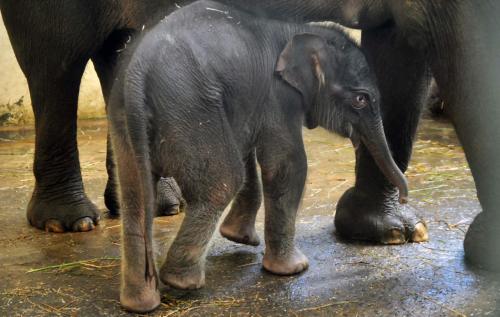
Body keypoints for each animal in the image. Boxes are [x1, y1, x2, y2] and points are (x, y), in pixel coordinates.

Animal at [0, 0, 498, 270]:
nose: (410, 191)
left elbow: (398, 48)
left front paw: (390, 234)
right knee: (55, 64)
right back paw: (69, 222)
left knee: (119, 52)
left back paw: (158, 205)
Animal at [107, 0, 408, 312]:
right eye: (360, 99)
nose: (404, 198)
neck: (299, 30)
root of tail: (137, 74)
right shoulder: (278, 95)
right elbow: (288, 165)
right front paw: (294, 269)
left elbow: (246, 146)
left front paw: (239, 237)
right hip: (188, 109)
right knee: (222, 181)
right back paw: (182, 282)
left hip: (127, 122)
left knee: (135, 197)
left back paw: (140, 303)